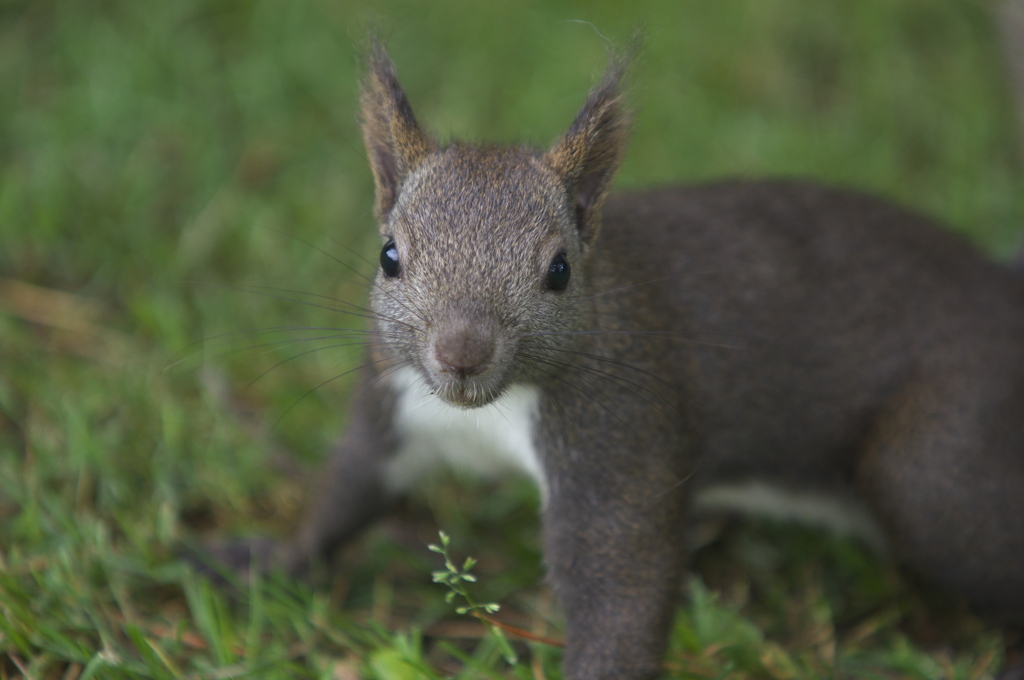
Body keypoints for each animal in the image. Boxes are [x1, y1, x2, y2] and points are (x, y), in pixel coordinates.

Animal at [199, 43, 1024, 680]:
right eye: (389, 256)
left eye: (560, 271)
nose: (461, 352)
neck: (494, 408)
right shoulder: (395, 404)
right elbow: (349, 489)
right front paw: (267, 560)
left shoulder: (618, 433)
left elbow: (620, 582)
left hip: (935, 468)